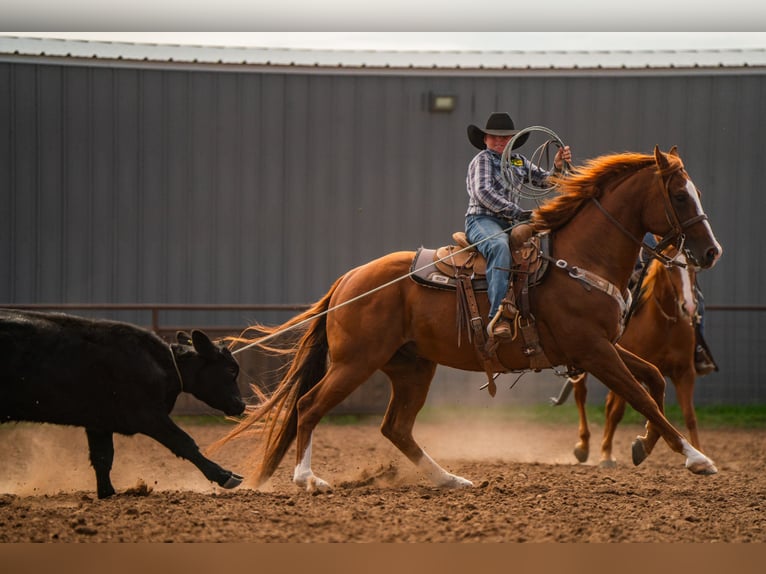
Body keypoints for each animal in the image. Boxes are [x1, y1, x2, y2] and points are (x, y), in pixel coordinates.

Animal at [552, 250, 706, 467]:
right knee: (582, 396)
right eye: (670, 269)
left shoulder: (685, 373)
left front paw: (699, 451)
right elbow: (620, 411)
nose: (689, 307)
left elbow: (689, 416)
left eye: (694, 269)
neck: (666, 323)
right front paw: (606, 453)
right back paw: (585, 446)